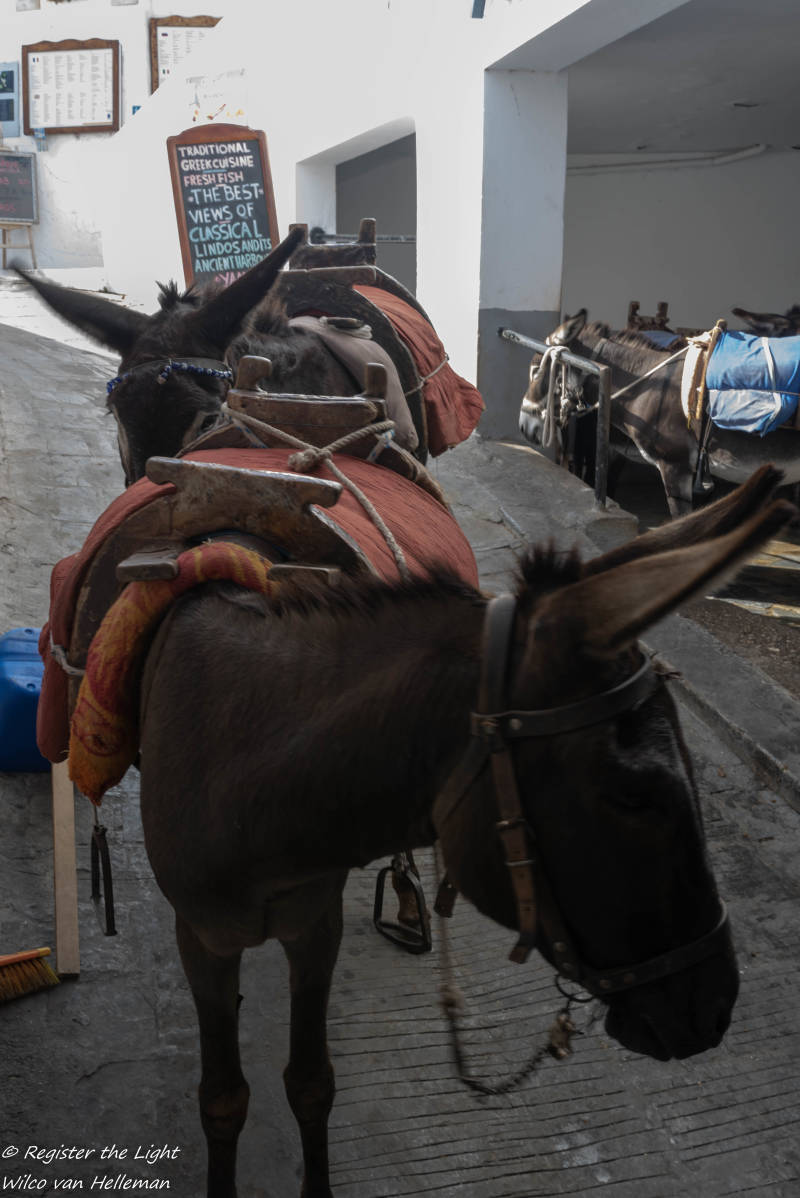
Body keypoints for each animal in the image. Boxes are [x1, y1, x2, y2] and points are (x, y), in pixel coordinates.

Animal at [128, 464, 793, 1196]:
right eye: (635, 795)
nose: (716, 1008)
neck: (244, 759)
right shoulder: (203, 939)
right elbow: (223, 1098)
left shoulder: (315, 924)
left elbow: (310, 1083)